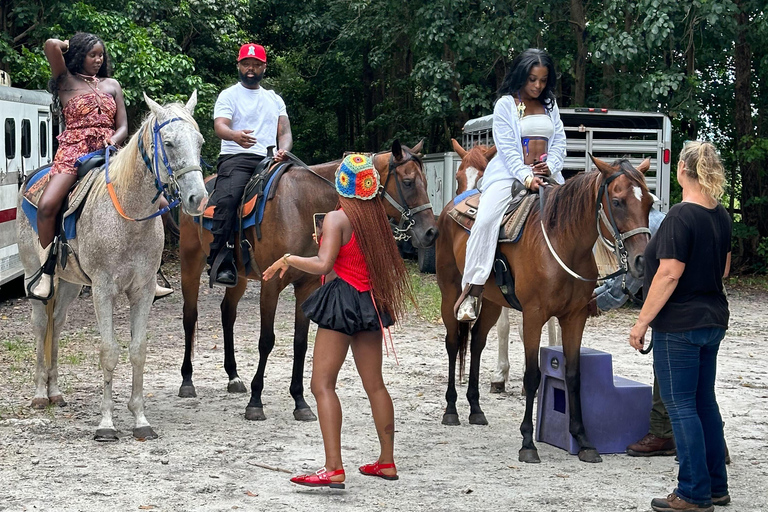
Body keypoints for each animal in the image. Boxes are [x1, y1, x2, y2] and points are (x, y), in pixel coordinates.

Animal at [16, 92, 207, 440]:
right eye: (169, 143)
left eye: (199, 142)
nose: (197, 198)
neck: (128, 215)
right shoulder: (103, 291)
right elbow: (109, 351)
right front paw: (106, 423)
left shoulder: (142, 291)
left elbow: (137, 350)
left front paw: (140, 419)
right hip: (32, 274)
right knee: (40, 324)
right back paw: (39, 395)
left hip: (71, 283)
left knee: (57, 323)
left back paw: (55, 392)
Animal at [176, 139, 436, 420]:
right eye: (408, 182)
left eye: (426, 182)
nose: (431, 232)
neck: (302, 205)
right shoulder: (271, 284)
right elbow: (266, 341)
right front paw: (256, 402)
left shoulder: (306, 286)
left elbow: (300, 343)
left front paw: (300, 401)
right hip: (190, 262)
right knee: (190, 316)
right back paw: (187, 380)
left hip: (240, 276)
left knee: (227, 313)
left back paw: (233, 377)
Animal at [436, 156, 652, 464]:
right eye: (618, 201)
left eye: (649, 202)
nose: (642, 261)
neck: (564, 243)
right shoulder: (533, 316)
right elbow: (532, 376)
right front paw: (528, 442)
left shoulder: (574, 318)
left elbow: (573, 376)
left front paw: (583, 439)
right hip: (450, 291)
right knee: (454, 344)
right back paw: (451, 409)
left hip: (491, 302)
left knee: (477, 342)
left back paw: (476, 409)